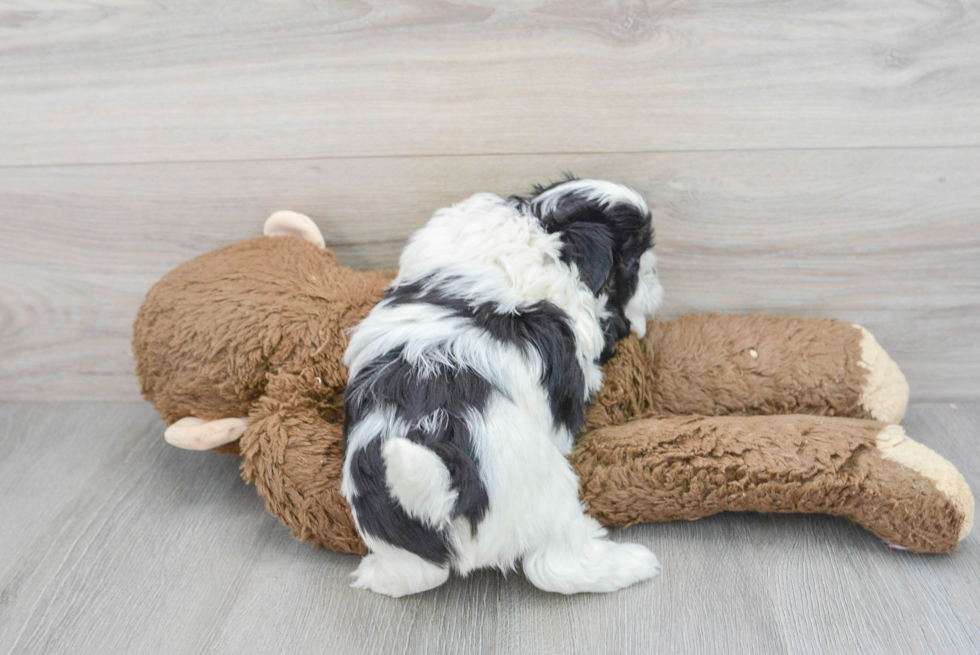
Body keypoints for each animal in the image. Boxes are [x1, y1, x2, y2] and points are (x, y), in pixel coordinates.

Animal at [340, 177, 664, 596]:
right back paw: (631, 564)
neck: (537, 224)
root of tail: (445, 487)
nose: (656, 275)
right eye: (633, 261)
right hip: (545, 493)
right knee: (555, 564)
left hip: (396, 535)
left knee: (415, 574)